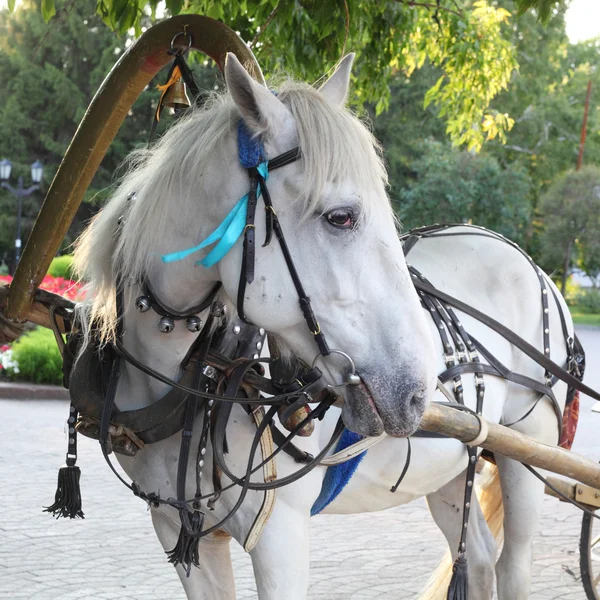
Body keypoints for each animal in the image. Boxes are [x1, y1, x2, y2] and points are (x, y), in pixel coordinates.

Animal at [71, 52, 572, 600]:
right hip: (447, 466)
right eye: (341, 217)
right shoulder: (177, 530)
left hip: (529, 449)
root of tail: (535, 266)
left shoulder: (279, 533)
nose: (417, 390)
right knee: (479, 559)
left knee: (512, 564)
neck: (190, 379)